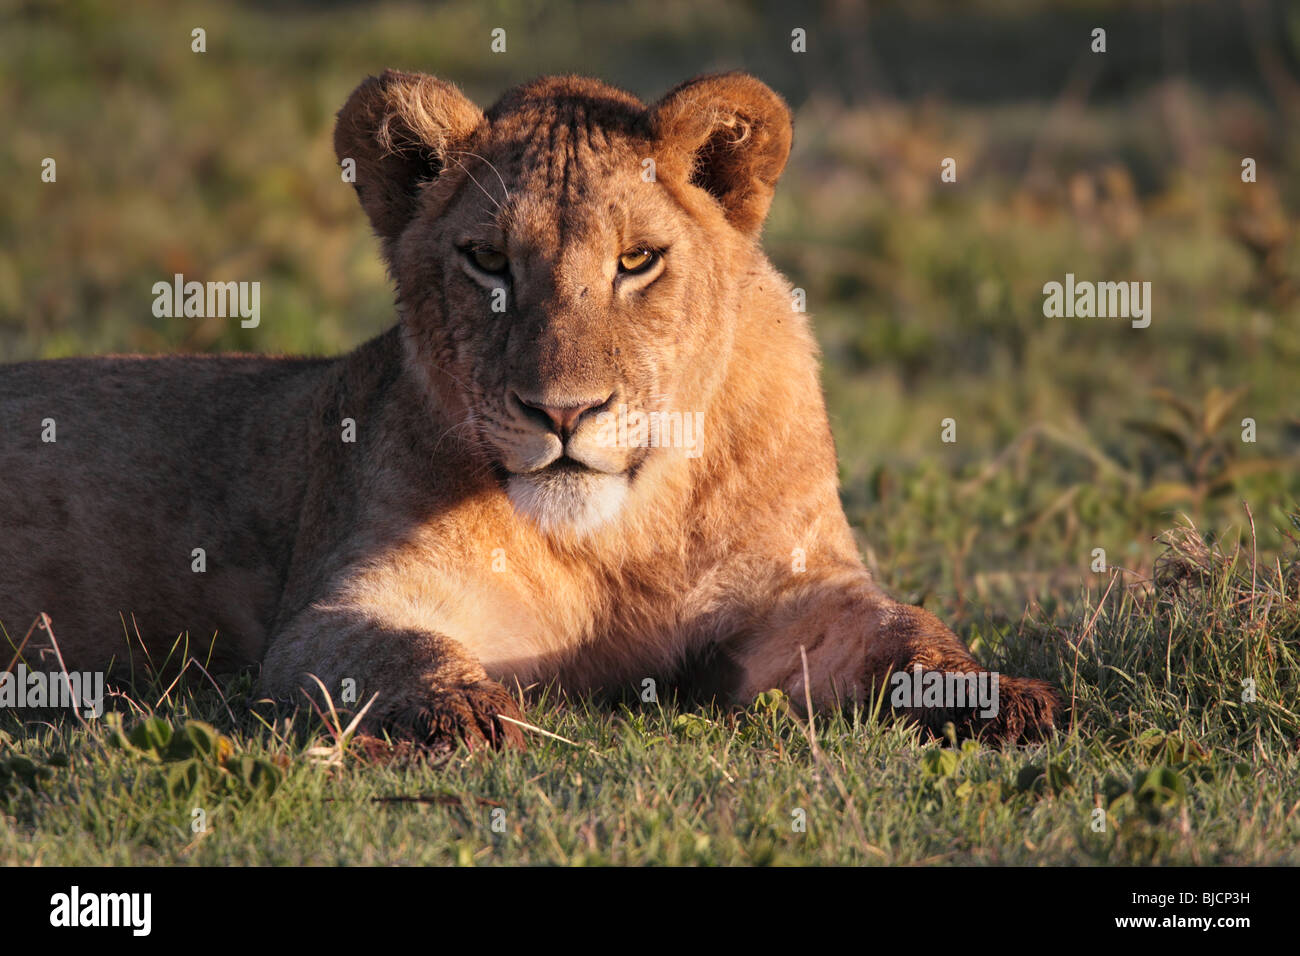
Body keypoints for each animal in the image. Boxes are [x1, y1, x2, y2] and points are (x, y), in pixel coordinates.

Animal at [0, 72, 1055, 749]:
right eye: (488, 262)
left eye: (638, 261)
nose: (563, 412)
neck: (619, 539)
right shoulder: (333, 608)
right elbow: (397, 647)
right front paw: (461, 714)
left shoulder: (798, 593)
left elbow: (908, 630)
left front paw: (1006, 700)